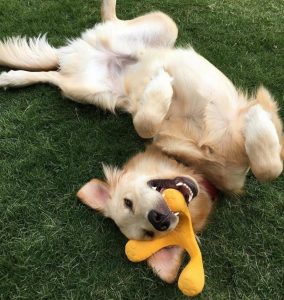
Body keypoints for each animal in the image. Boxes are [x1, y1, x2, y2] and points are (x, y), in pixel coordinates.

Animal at [0, 0, 284, 282]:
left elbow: (269, 168)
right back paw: (13, 78)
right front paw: (160, 88)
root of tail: (83, 52)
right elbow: (144, 124)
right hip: (92, 93)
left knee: (96, 36)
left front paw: (257, 118)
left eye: (128, 202)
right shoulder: (146, 120)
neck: (196, 164)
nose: (158, 219)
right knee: (56, 75)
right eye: (150, 234)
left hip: (163, 26)